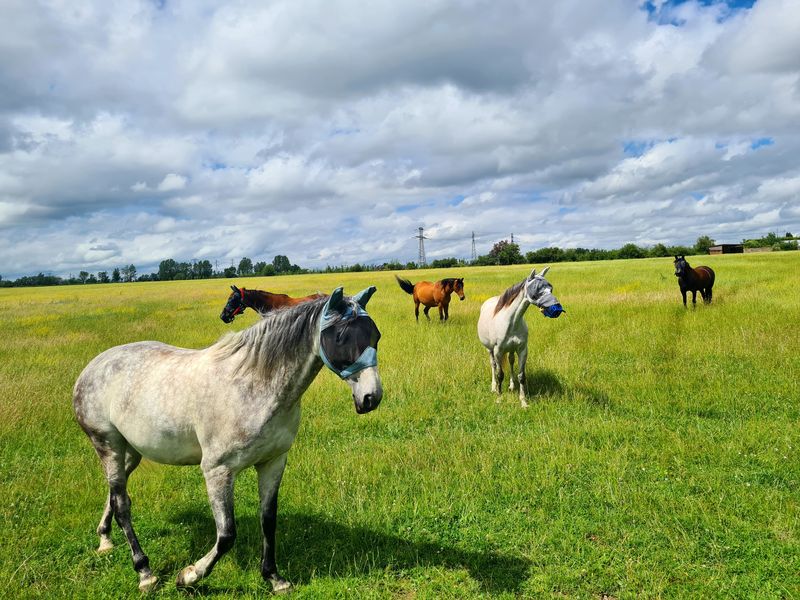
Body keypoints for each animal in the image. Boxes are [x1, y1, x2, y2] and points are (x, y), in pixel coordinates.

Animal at [72, 286, 382, 592]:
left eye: (375, 335)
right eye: (341, 337)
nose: (371, 398)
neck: (253, 385)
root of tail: (93, 366)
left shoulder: (273, 462)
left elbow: (268, 520)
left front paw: (274, 577)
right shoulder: (217, 471)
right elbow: (226, 534)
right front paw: (189, 575)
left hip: (131, 451)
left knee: (116, 494)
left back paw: (105, 540)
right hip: (108, 445)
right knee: (122, 506)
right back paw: (144, 572)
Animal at [478, 268, 564, 408]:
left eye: (551, 289)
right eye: (537, 290)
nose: (556, 309)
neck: (510, 322)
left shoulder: (522, 350)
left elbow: (521, 376)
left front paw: (523, 401)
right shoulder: (498, 351)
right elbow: (500, 374)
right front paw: (499, 398)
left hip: (512, 350)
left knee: (511, 361)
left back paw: (512, 386)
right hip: (490, 350)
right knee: (493, 365)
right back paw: (494, 387)